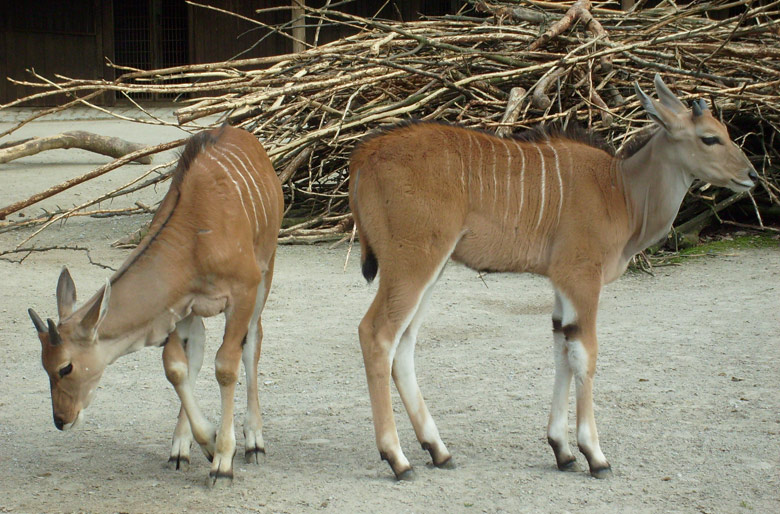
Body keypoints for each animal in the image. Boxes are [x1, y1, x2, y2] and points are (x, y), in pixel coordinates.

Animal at [28, 124, 284, 484]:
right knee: (196, 356)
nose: (62, 419)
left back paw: (255, 443)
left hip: (266, 270)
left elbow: (226, 366)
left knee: (253, 343)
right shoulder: (178, 306)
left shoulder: (243, 292)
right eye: (43, 365)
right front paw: (203, 443)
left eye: (66, 366)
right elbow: (176, 367)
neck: (195, 238)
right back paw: (182, 448)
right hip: (196, 314)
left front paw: (223, 461)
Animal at [350, 74, 760, 478]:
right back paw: (397, 458)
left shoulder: (562, 284)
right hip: (413, 261)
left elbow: (563, 347)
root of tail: (364, 155)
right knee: (377, 334)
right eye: (709, 137)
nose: (751, 175)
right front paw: (595, 454)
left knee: (404, 344)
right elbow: (585, 354)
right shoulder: (581, 276)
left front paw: (562, 450)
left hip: (430, 268)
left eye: (725, 131)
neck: (621, 190)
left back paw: (438, 450)